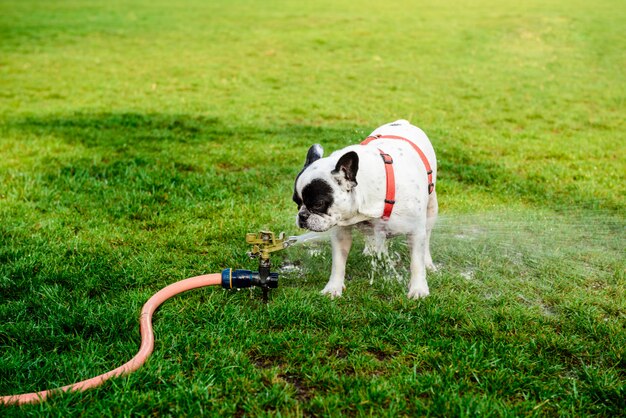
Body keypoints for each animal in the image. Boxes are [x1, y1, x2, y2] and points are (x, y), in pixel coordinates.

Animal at [292, 119, 434, 298]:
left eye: (318, 204)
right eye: (296, 202)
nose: (302, 215)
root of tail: (402, 122)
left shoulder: (415, 231)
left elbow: (416, 262)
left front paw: (418, 289)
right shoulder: (341, 231)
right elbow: (338, 262)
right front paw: (333, 287)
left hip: (431, 208)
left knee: (427, 238)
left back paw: (428, 262)